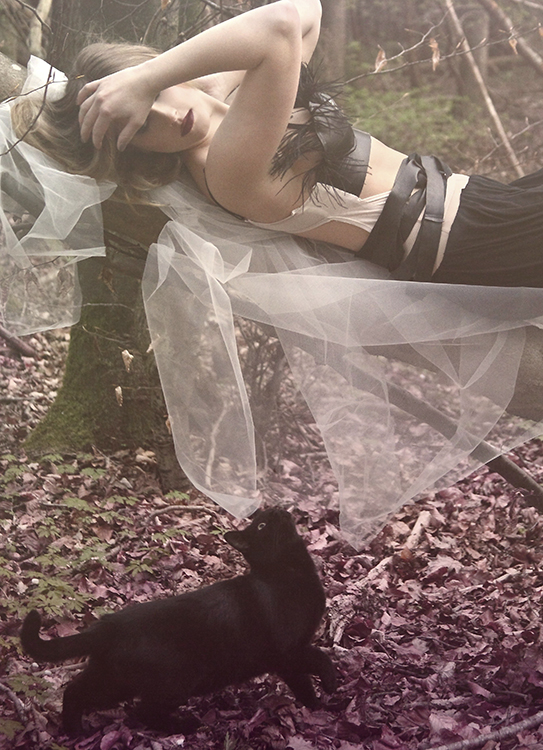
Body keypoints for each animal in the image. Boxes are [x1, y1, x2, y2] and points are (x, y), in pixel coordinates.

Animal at [21, 507, 337, 735]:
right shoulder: (288, 650)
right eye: (261, 525)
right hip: (174, 681)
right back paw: (184, 725)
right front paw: (326, 695)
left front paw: (321, 698)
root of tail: (107, 626)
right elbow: (317, 664)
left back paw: (74, 732)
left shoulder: (291, 653)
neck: (288, 572)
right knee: (142, 711)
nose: (278, 508)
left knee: (75, 691)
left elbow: (310, 669)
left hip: (113, 679)